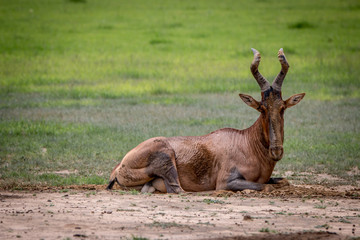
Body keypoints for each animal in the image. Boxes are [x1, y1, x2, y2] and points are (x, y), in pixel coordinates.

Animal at [106, 48, 304, 193]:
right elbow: (265, 186)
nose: (276, 151)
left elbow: (284, 182)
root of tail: (119, 167)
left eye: (282, 107)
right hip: (166, 157)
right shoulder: (226, 182)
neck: (246, 142)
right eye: (261, 108)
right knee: (178, 190)